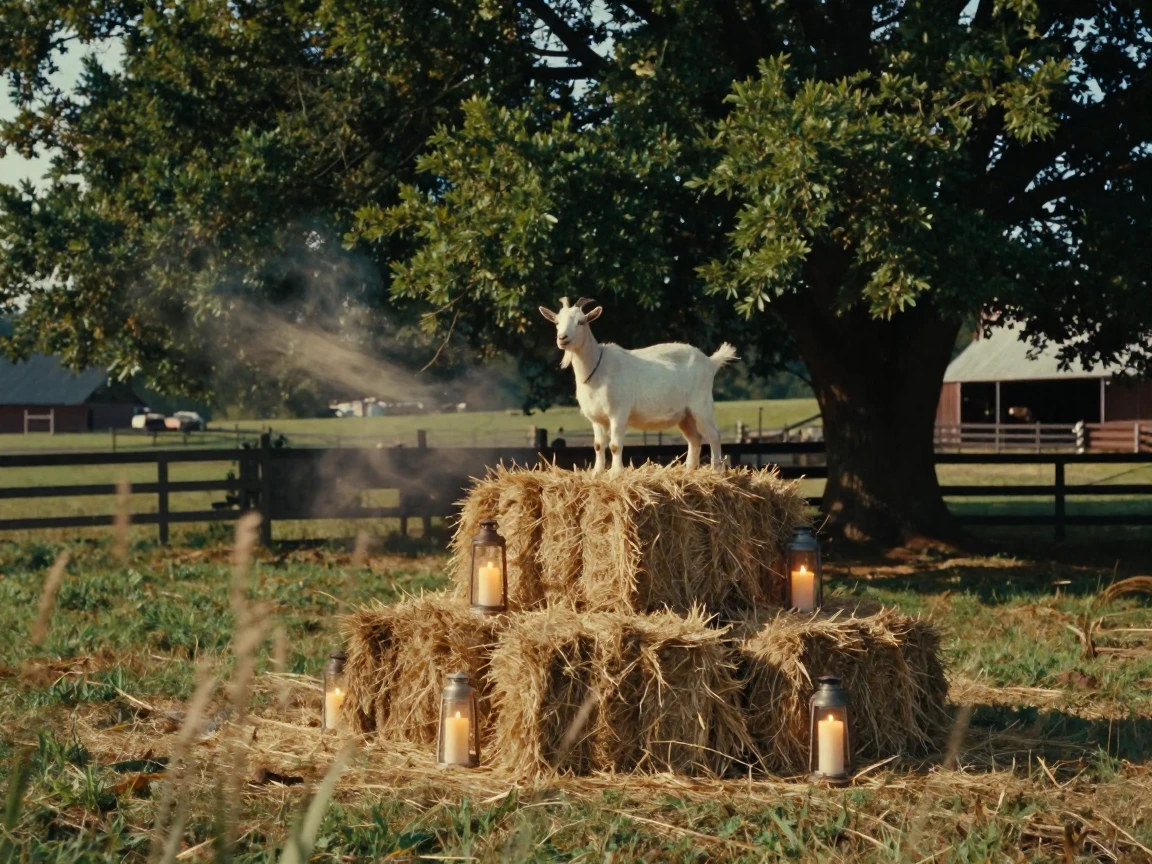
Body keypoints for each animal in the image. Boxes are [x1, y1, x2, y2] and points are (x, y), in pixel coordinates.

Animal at [539, 297, 737, 472]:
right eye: (556, 322)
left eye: (581, 322)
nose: (562, 338)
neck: (597, 367)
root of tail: (711, 362)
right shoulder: (596, 418)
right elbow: (598, 445)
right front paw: (597, 473)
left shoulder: (618, 413)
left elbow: (615, 445)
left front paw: (615, 473)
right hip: (684, 415)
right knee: (695, 439)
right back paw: (689, 471)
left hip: (701, 405)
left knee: (714, 435)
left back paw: (716, 471)